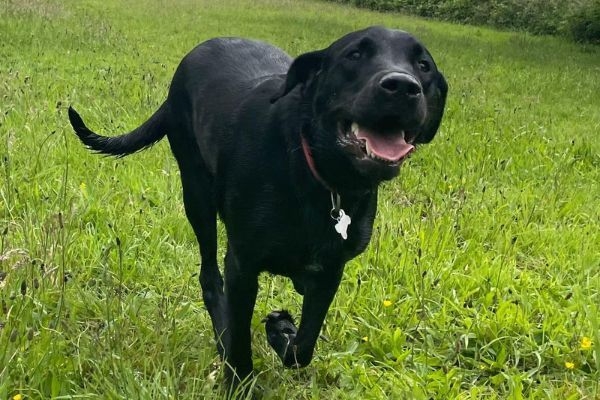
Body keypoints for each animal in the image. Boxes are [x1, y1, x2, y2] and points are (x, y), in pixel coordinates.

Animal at [69, 26, 446, 386]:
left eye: (423, 65)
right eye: (354, 55)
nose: (402, 87)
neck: (318, 175)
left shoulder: (330, 271)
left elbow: (304, 347)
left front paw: (281, 331)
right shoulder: (243, 266)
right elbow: (239, 340)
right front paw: (238, 379)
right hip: (197, 196)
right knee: (209, 277)